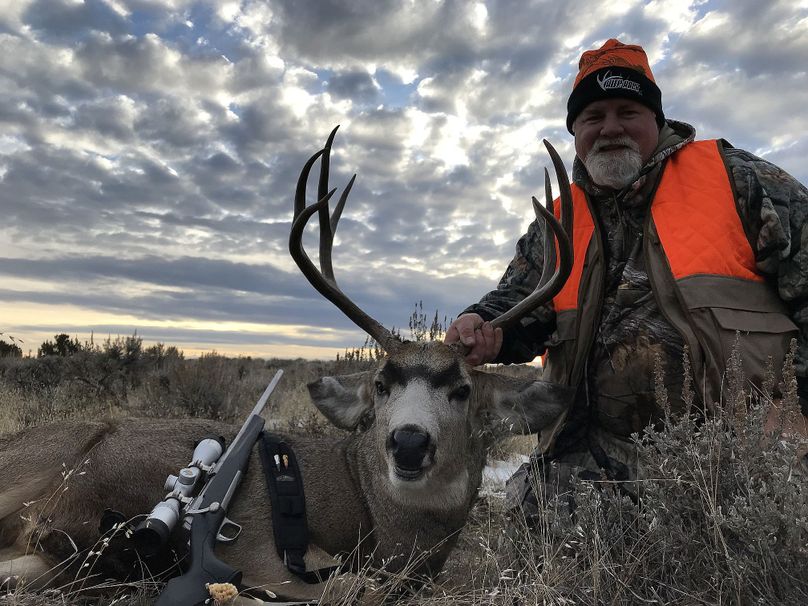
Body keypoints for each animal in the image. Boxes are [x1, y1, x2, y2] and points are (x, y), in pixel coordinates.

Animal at [0, 127, 573, 604]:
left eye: (462, 389)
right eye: (381, 384)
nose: (409, 442)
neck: (367, 507)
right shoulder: (256, 549)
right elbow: (349, 584)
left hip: (42, 559)